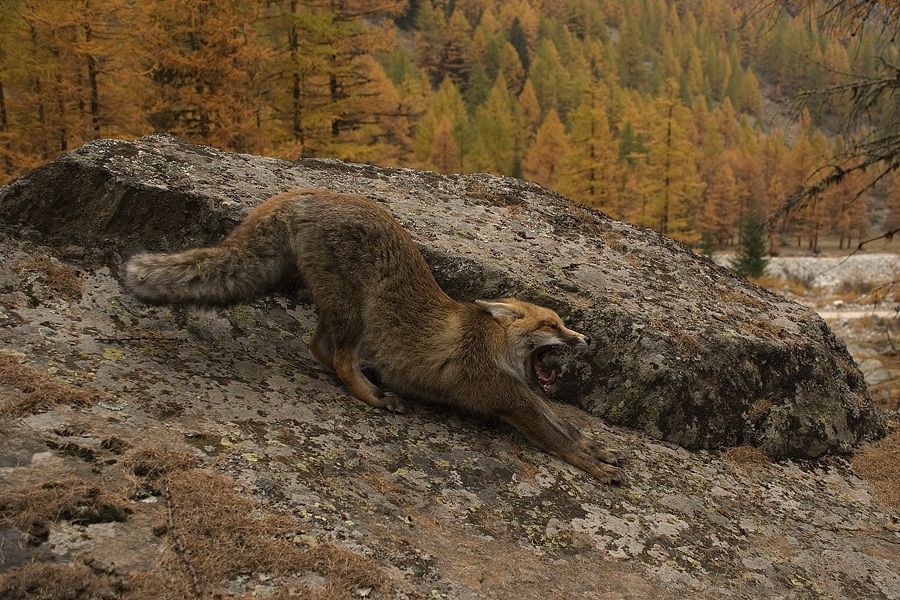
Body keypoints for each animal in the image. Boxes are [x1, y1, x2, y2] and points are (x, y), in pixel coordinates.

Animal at [123, 188, 625, 484]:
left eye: (563, 324)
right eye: (551, 327)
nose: (587, 340)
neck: (495, 348)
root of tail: (308, 191)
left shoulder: (521, 391)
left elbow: (564, 425)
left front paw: (595, 448)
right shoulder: (506, 397)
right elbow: (557, 437)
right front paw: (593, 466)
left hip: (339, 308)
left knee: (318, 347)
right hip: (354, 311)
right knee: (338, 358)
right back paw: (374, 395)